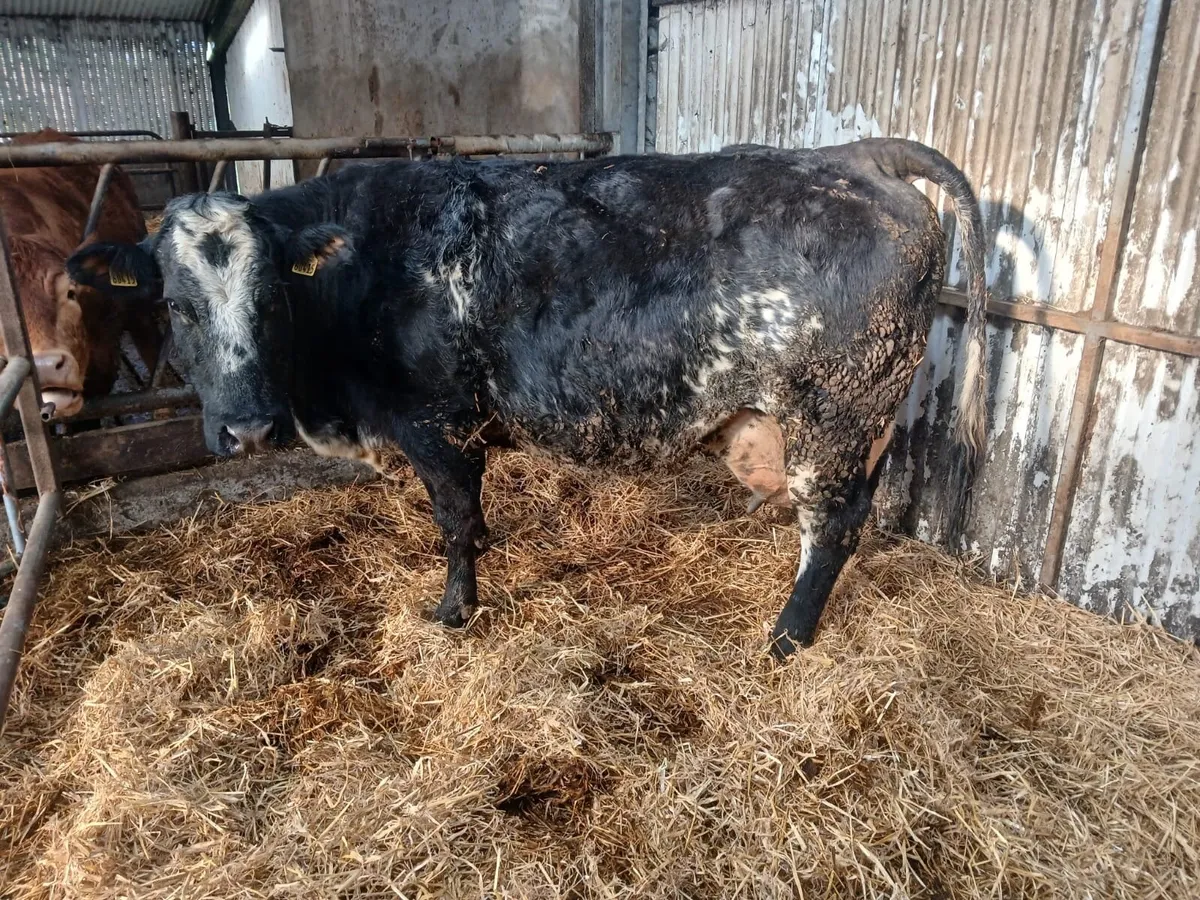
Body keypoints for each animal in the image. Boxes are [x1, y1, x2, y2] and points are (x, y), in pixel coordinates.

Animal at [68, 138, 988, 658]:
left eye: (267, 300)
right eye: (176, 306)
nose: (248, 429)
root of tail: (855, 155)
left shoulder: (433, 425)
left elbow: (449, 522)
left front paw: (453, 612)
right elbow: (473, 516)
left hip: (834, 417)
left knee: (831, 525)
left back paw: (788, 639)